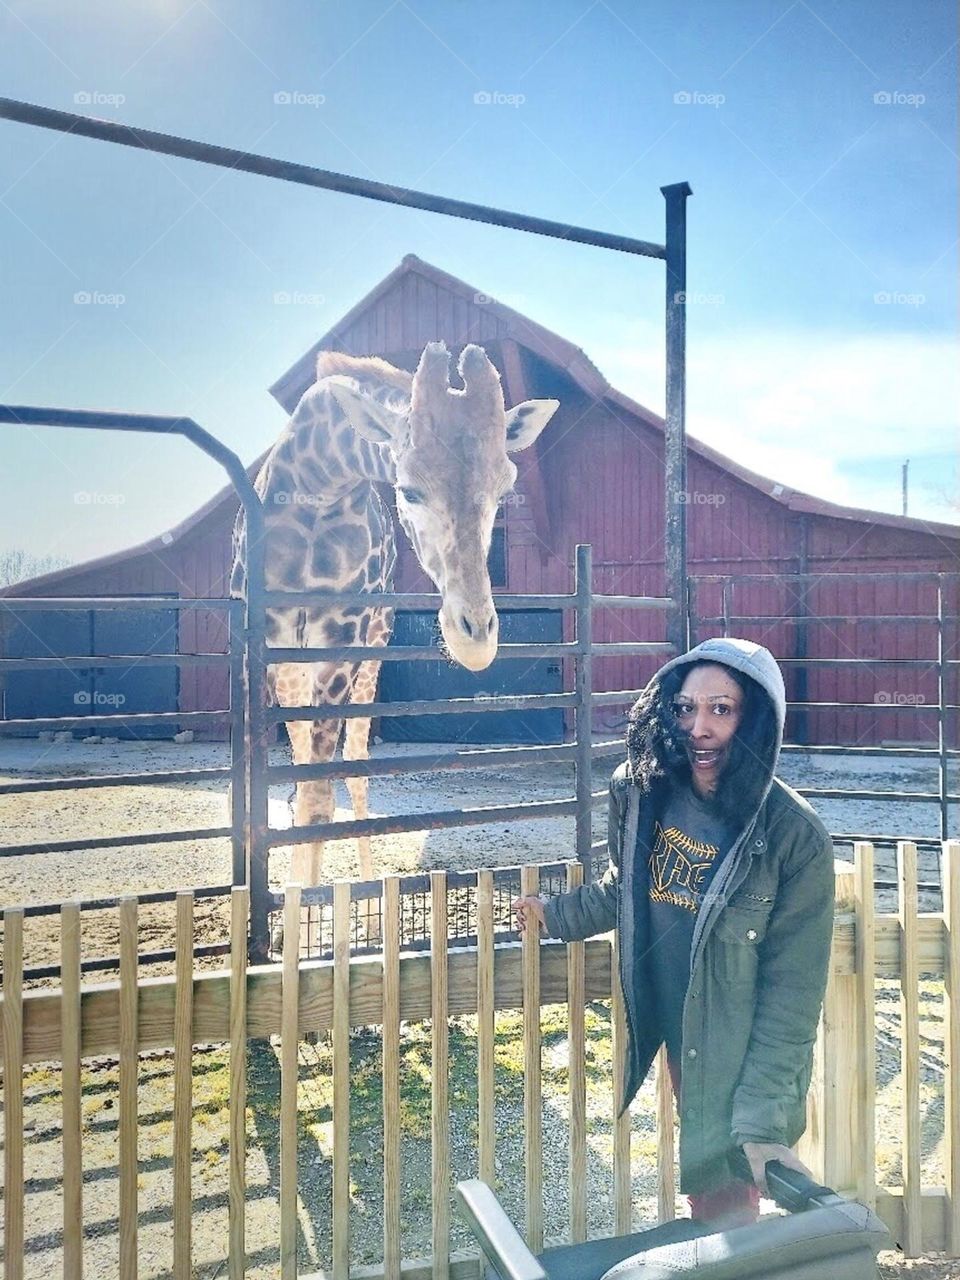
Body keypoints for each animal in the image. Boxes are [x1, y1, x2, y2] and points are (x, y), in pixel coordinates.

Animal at [232, 345, 560, 896]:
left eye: (504, 489)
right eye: (408, 491)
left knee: (352, 769)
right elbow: (272, 801)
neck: (316, 484)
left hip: (370, 657)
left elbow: (318, 800)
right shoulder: (257, 648)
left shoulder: (341, 643)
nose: (476, 639)